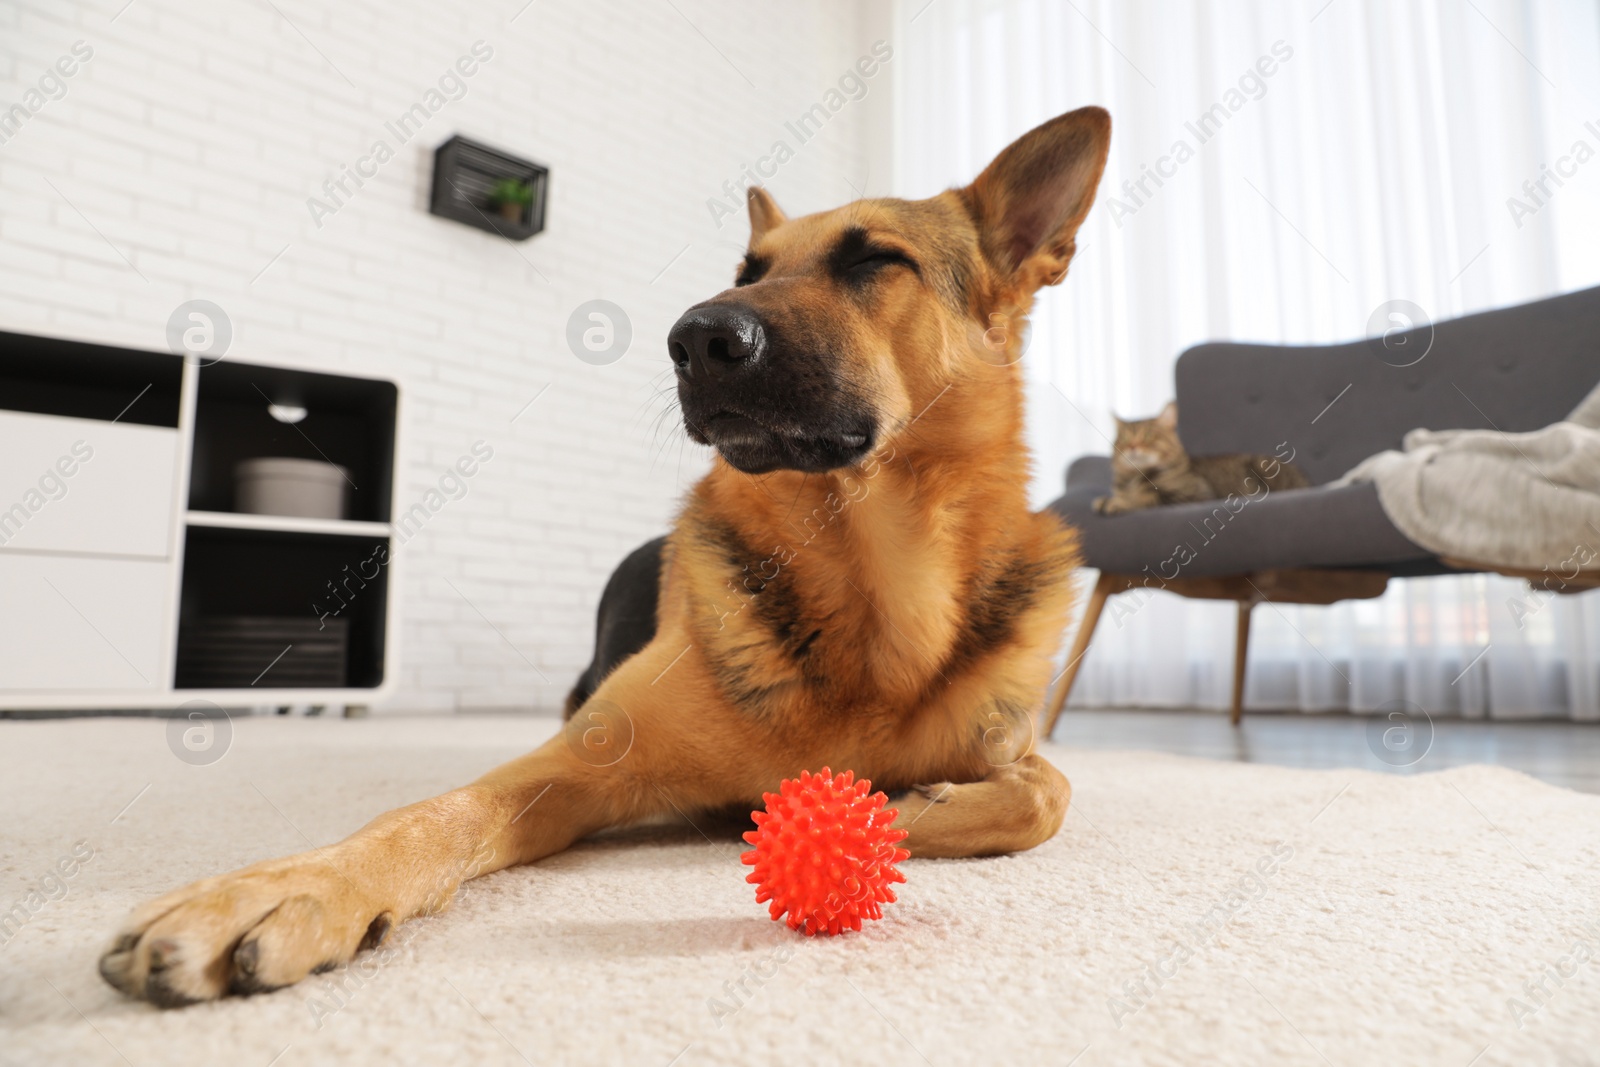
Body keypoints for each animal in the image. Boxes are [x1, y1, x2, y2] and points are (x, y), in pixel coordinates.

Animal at [100, 103, 1113, 1004]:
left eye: (874, 260)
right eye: (747, 269)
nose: (696, 337)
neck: (865, 577)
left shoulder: (1013, 743)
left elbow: (1049, 790)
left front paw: (914, 808)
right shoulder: (569, 770)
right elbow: (431, 813)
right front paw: (289, 886)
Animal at [1094, 403, 1305, 515]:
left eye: (1148, 436)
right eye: (1124, 439)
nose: (1132, 446)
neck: (1133, 479)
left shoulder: (1193, 495)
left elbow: (1145, 498)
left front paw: (1118, 503)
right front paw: (1107, 500)